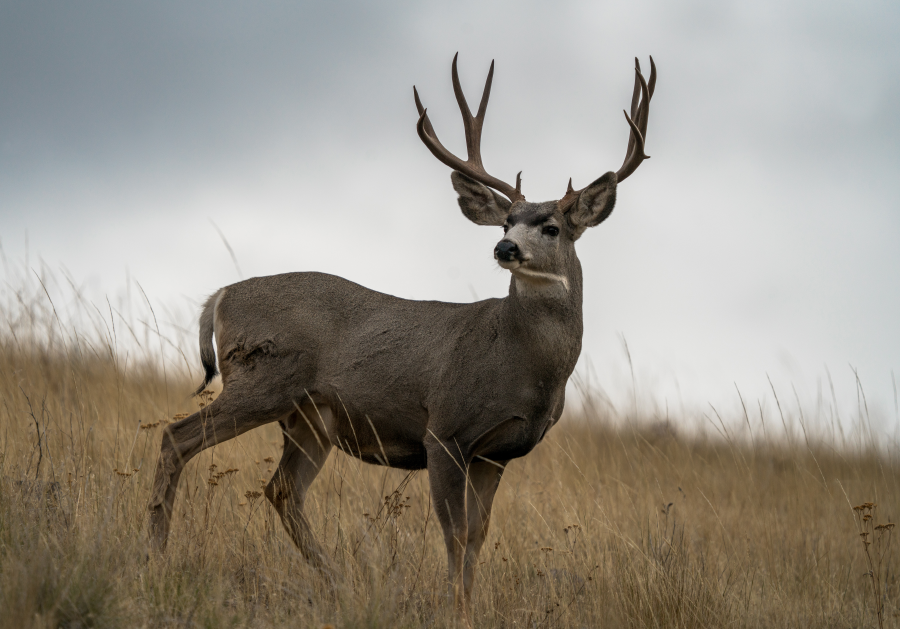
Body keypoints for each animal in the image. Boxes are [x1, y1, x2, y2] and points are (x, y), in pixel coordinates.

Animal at [149, 53, 655, 623]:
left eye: (550, 227)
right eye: (506, 220)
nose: (504, 248)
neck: (522, 366)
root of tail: (220, 295)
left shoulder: (495, 453)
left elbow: (477, 537)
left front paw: (467, 609)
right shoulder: (445, 431)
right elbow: (454, 534)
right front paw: (456, 611)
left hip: (309, 419)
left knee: (281, 490)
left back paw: (338, 584)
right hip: (262, 380)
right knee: (177, 438)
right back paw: (155, 556)